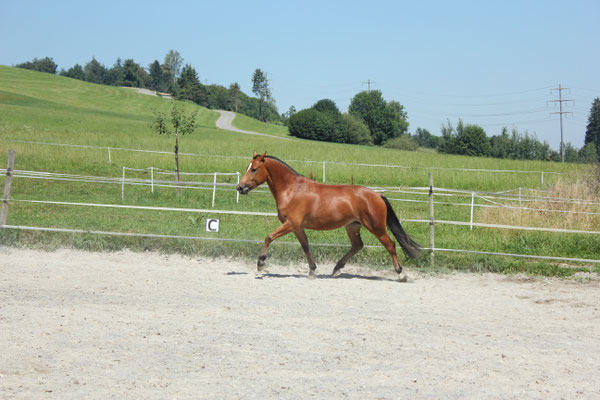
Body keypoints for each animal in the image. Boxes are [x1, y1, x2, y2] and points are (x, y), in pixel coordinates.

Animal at [236, 152, 422, 280]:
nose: (240, 188)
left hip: (376, 228)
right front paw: (312, 271)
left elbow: (269, 237)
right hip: (352, 226)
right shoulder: (298, 228)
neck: (292, 190)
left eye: (254, 169)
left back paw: (400, 274)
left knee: (390, 245)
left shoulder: (291, 224)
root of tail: (378, 196)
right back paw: (337, 269)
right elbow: (306, 247)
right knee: (357, 245)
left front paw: (261, 264)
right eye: (247, 168)